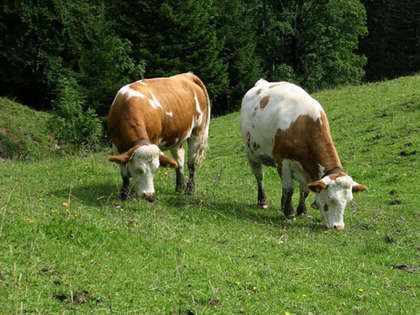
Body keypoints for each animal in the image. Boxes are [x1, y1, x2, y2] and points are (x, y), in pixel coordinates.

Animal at [106, 72, 209, 202]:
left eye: (155, 170)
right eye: (139, 170)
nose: (150, 196)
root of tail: (187, 75)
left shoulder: (154, 140)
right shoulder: (116, 145)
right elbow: (124, 173)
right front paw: (124, 195)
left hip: (198, 133)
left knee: (191, 164)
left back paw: (189, 190)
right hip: (177, 137)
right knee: (179, 160)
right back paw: (179, 187)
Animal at [241, 80, 366, 231]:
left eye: (348, 201)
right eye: (331, 199)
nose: (339, 227)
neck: (303, 125)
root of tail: (262, 82)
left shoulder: (306, 169)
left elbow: (305, 190)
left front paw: (301, 210)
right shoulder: (283, 161)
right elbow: (289, 189)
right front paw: (289, 214)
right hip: (251, 153)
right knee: (260, 177)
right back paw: (263, 201)